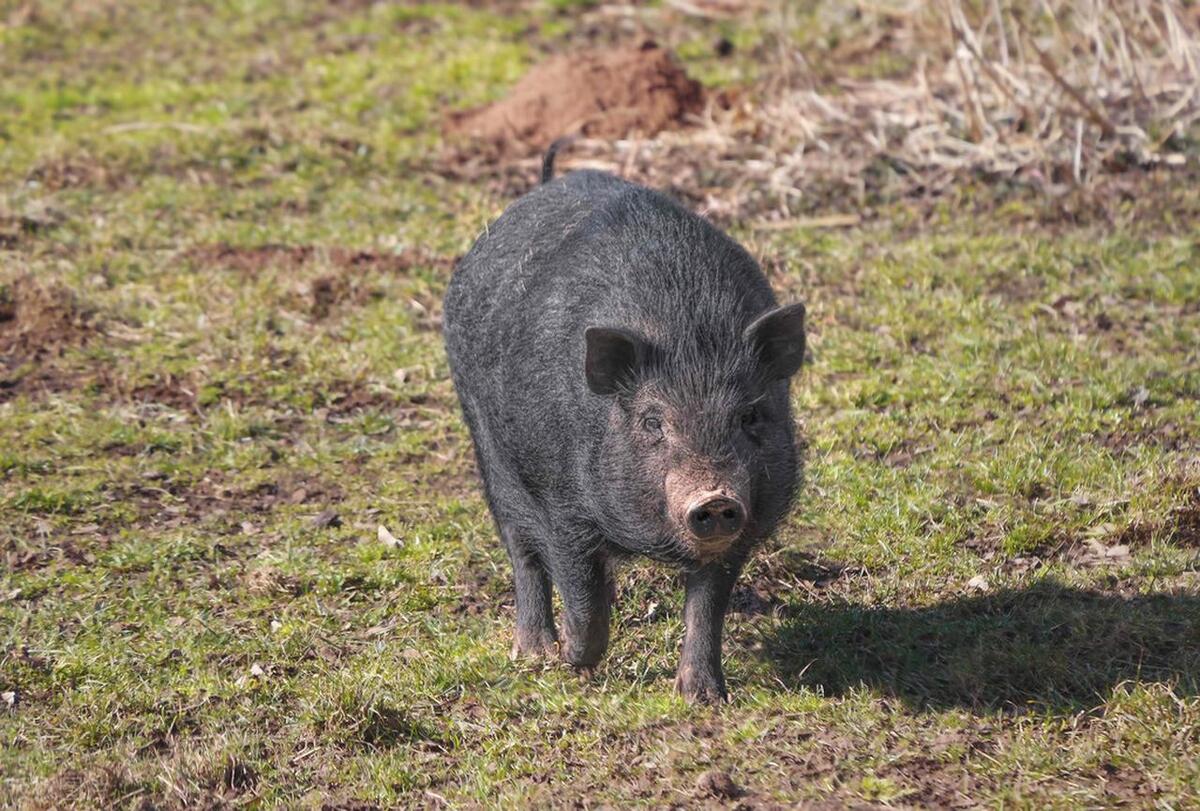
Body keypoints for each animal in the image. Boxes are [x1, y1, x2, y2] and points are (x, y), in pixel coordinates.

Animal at [441, 147, 806, 705]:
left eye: (750, 415)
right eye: (652, 421)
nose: (715, 497)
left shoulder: (745, 525)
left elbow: (707, 606)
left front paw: (703, 697)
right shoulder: (561, 507)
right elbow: (582, 592)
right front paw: (574, 662)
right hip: (488, 447)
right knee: (519, 548)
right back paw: (533, 653)